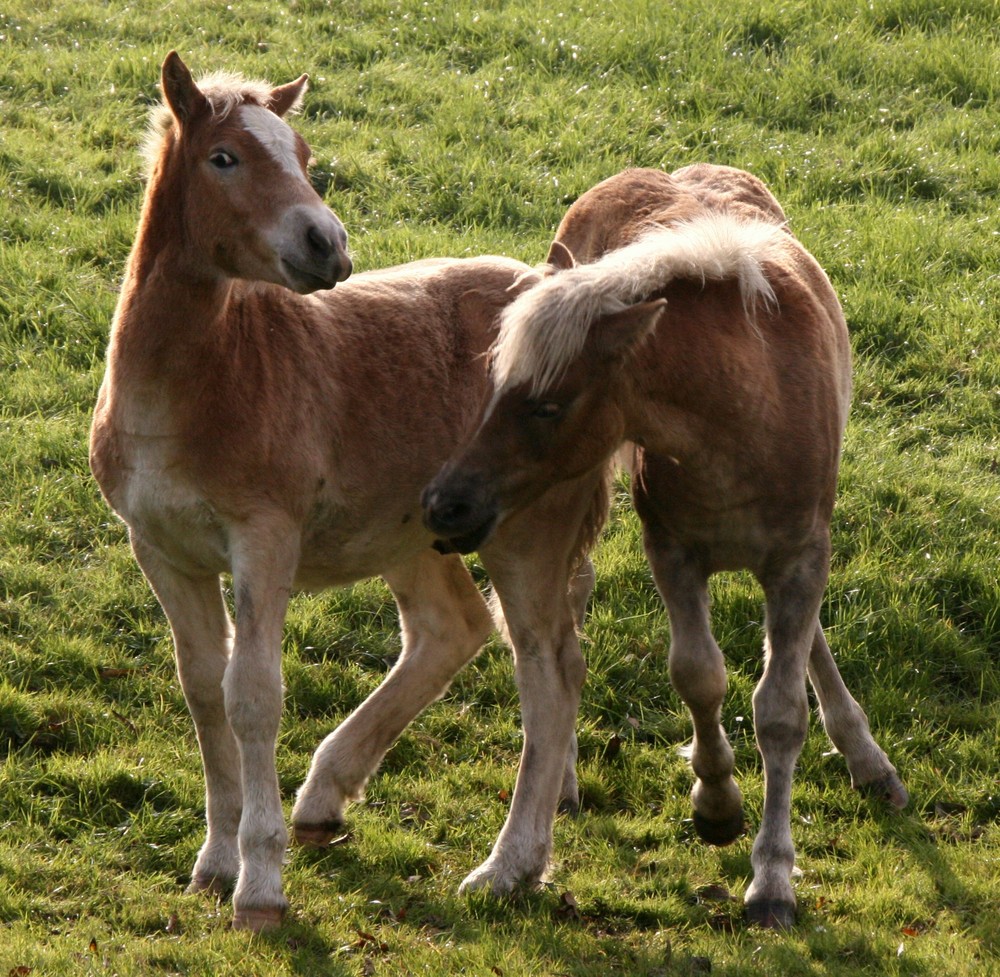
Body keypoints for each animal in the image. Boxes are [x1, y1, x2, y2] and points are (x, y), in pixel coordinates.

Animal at [426, 164, 912, 928]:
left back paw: (868, 758)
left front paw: (772, 879)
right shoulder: (673, 551)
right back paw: (565, 779)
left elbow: (780, 709)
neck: (744, 414)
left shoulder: (800, 560)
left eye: (548, 405)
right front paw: (716, 804)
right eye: (494, 385)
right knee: (572, 599)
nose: (446, 503)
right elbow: (698, 675)